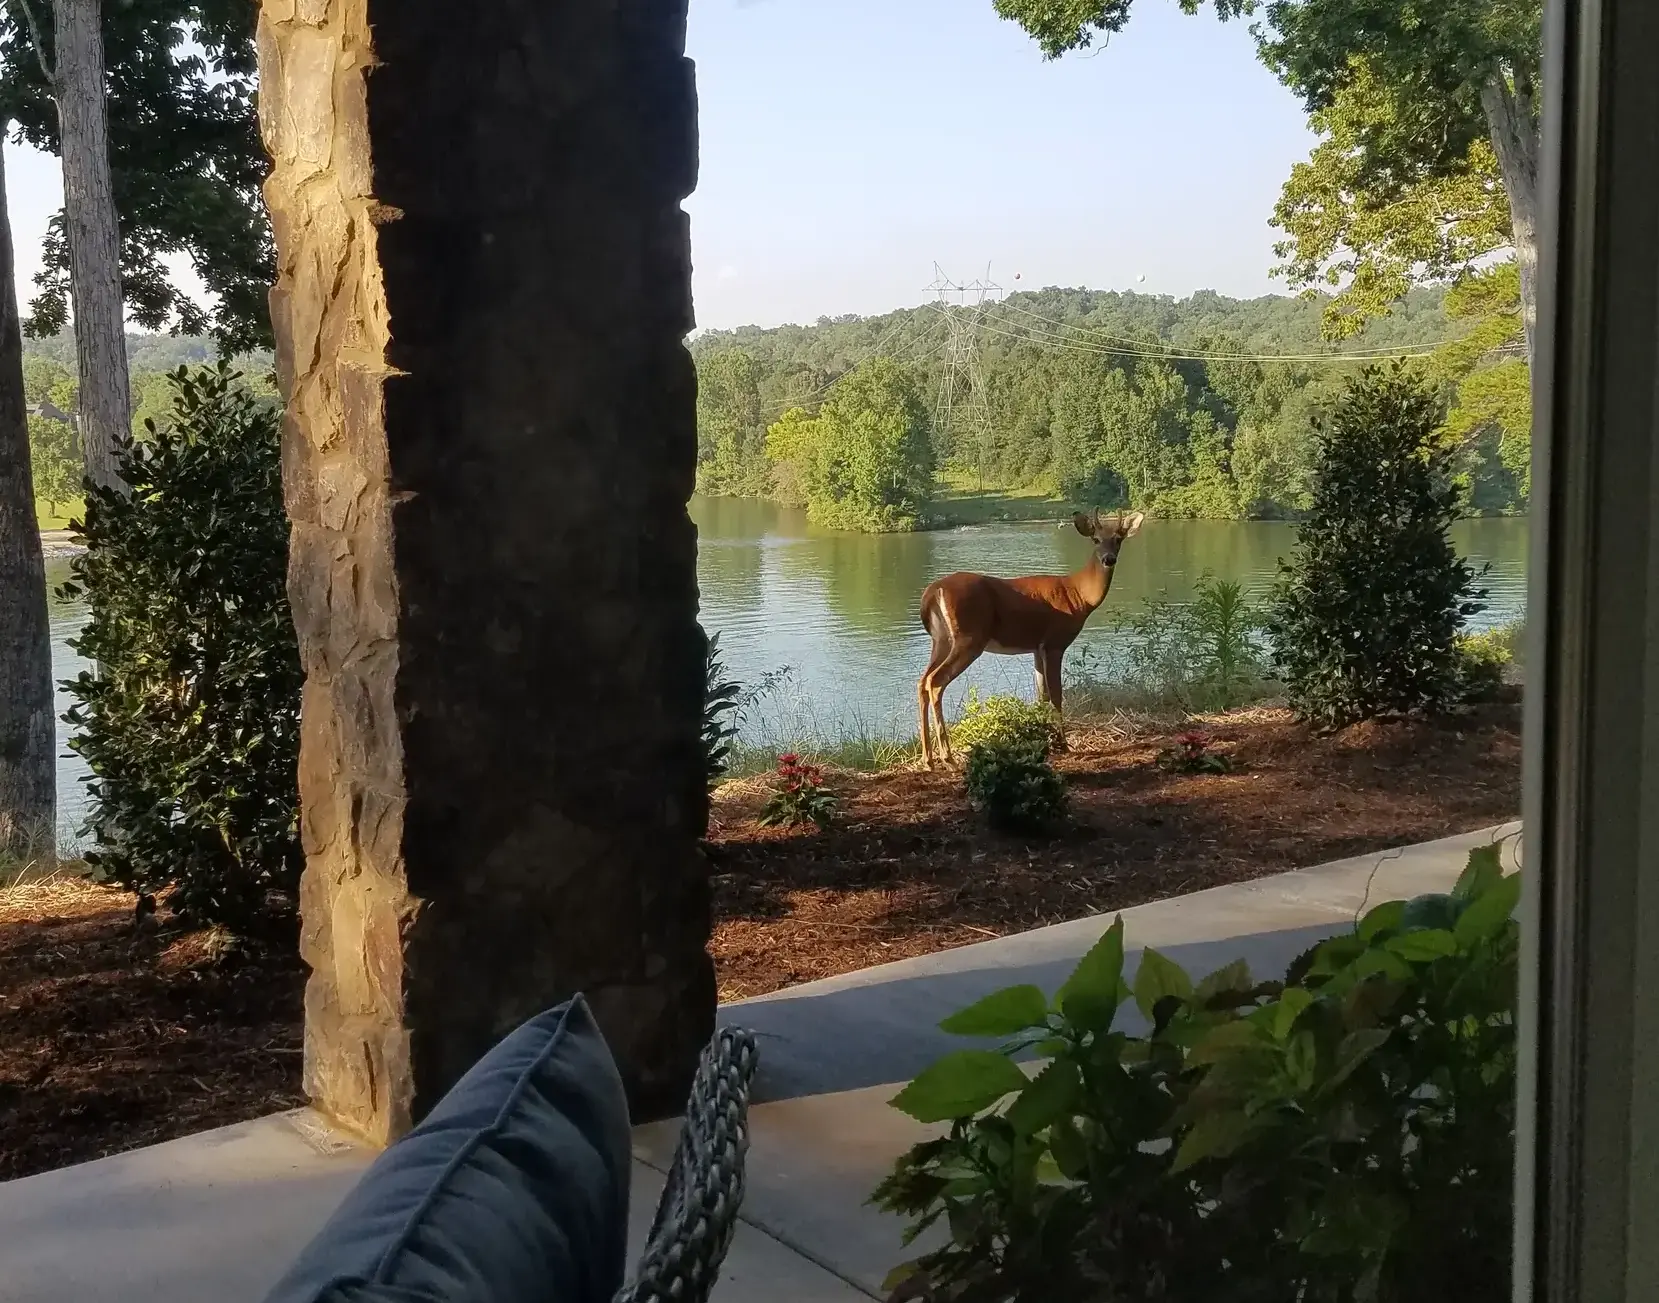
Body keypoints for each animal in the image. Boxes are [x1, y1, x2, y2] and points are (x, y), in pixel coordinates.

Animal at [915, 509, 1146, 768]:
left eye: (1118, 539)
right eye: (1095, 539)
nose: (1109, 559)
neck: (1079, 596)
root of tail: (932, 592)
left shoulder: (1037, 647)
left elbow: (1041, 695)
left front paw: (1044, 739)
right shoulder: (1055, 642)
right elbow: (1056, 694)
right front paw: (1063, 744)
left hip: (941, 640)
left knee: (922, 681)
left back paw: (928, 758)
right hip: (969, 637)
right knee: (935, 681)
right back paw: (948, 758)